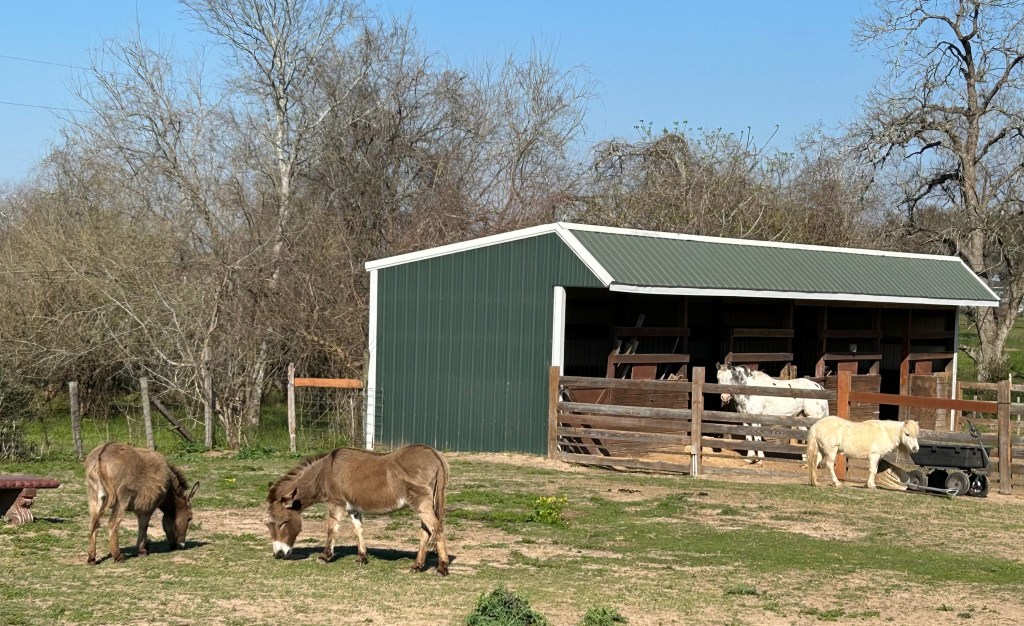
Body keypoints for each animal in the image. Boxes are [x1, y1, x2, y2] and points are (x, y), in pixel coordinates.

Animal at [265, 444, 450, 575]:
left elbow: (331, 529)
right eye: (268, 525)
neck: (324, 472)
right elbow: (358, 529)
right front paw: (362, 557)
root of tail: (435, 455)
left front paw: (325, 556)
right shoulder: (353, 508)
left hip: (421, 503)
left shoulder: (336, 503)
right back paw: (417, 566)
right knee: (426, 532)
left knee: (437, 529)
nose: (278, 555)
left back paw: (442, 567)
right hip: (425, 504)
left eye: (282, 523)